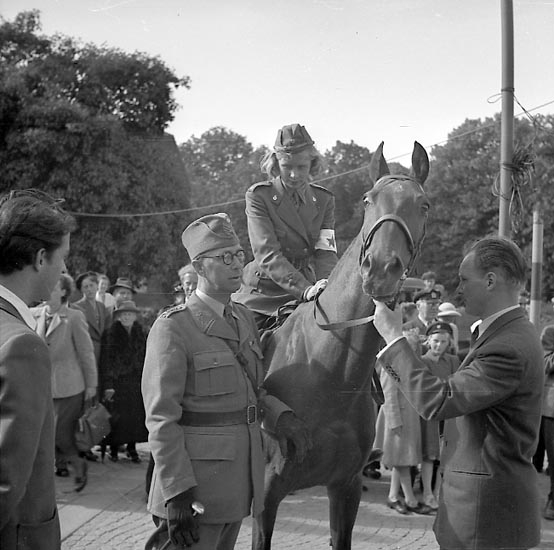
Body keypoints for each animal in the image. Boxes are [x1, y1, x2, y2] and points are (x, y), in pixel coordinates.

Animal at [255, 141, 430, 550]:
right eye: (368, 200)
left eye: (423, 205)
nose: (380, 269)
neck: (329, 372)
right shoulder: (265, 496)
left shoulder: (346, 488)